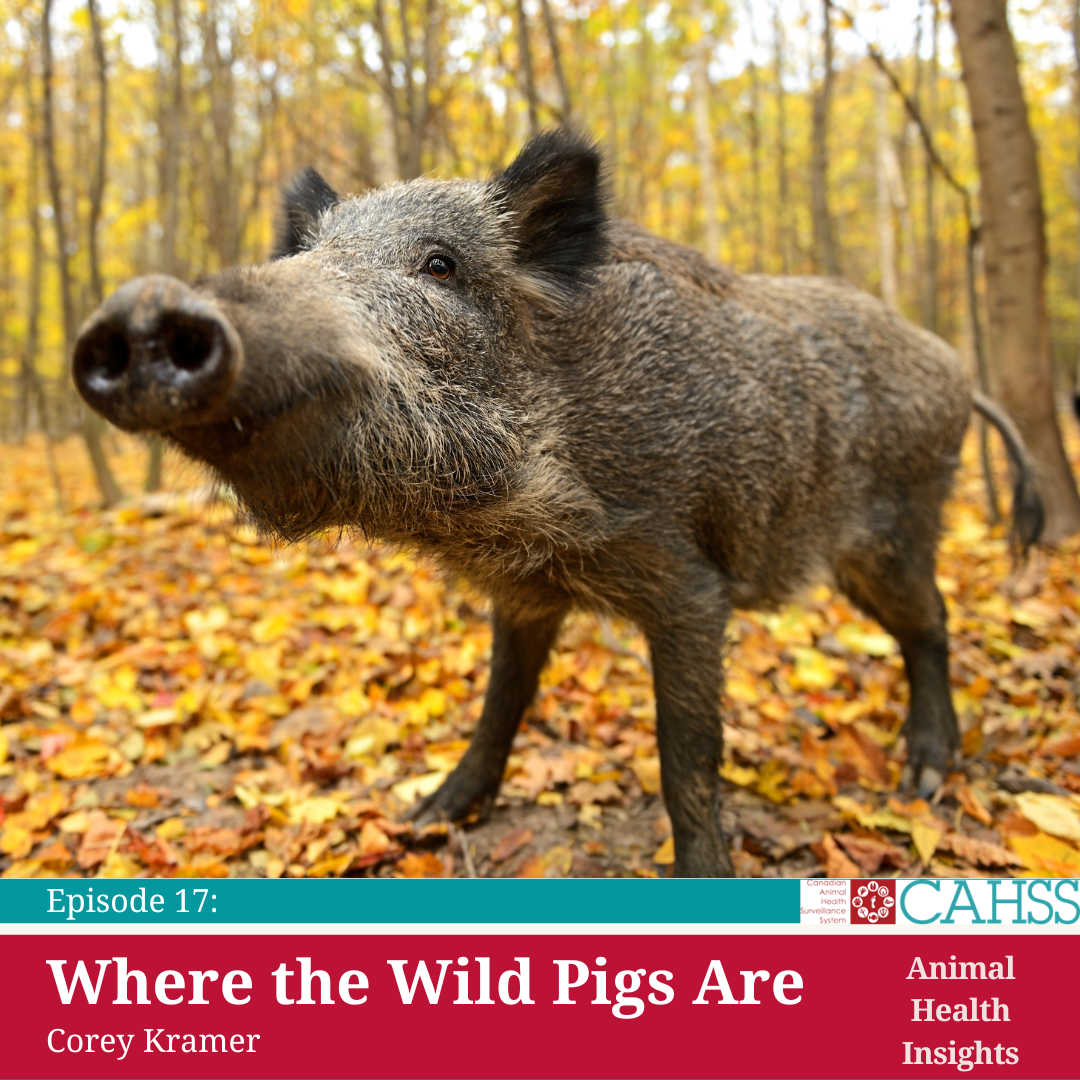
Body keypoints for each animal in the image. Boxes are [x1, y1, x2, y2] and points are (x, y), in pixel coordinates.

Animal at [72, 130, 1043, 877]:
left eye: (441, 265)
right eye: (303, 257)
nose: (143, 308)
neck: (516, 513)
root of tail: (956, 370)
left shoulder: (689, 587)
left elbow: (686, 758)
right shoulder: (525, 593)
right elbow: (502, 701)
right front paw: (427, 816)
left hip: (894, 532)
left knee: (933, 623)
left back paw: (925, 777)